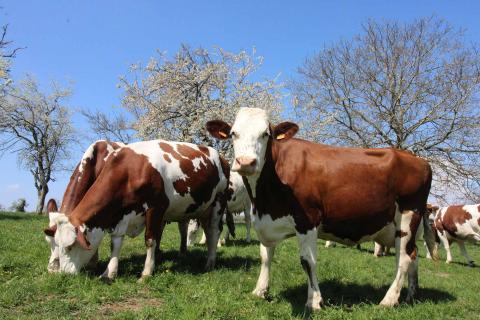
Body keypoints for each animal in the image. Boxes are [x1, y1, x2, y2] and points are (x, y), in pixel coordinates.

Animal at [48, 139, 229, 278]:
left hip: (218, 202)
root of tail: (220, 156)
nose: (61, 272)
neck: (131, 170)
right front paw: (109, 273)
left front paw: (146, 272)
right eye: (53, 242)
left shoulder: (156, 207)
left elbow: (150, 240)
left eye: (70, 246)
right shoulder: (120, 213)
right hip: (202, 209)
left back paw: (210, 263)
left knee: (214, 231)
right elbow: (115, 242)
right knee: (204, 231)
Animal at [206, 107, 438, 310]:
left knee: (404, 258)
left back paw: (389, 300)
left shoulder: (307, 220)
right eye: (233, 133)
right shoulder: (265, 222)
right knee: (412, 255)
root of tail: (419, 160)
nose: (246, 162)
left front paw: (314, 301)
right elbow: (265, 256)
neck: (264, 199)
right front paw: (260, 291)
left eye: (266, 134)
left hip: (408, 216)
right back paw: (410, 295)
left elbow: (307, 261)